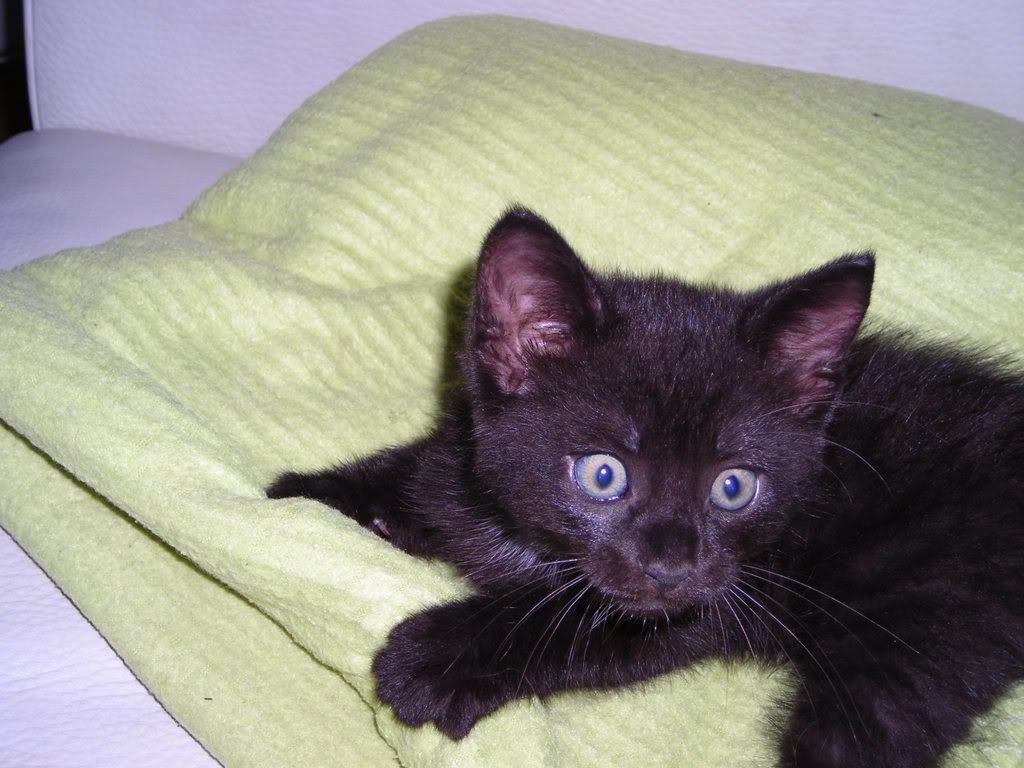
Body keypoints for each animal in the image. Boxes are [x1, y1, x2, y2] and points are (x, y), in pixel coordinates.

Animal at [268, 207, 1024, 767]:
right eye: (603, 474)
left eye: (733, 488)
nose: (672, 565)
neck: (532, 544)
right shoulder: (465, 460)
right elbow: (419, 481)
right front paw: (301, 496)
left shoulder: (725, 594)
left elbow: (579, 620)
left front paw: (435, 658)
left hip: (929, 618)